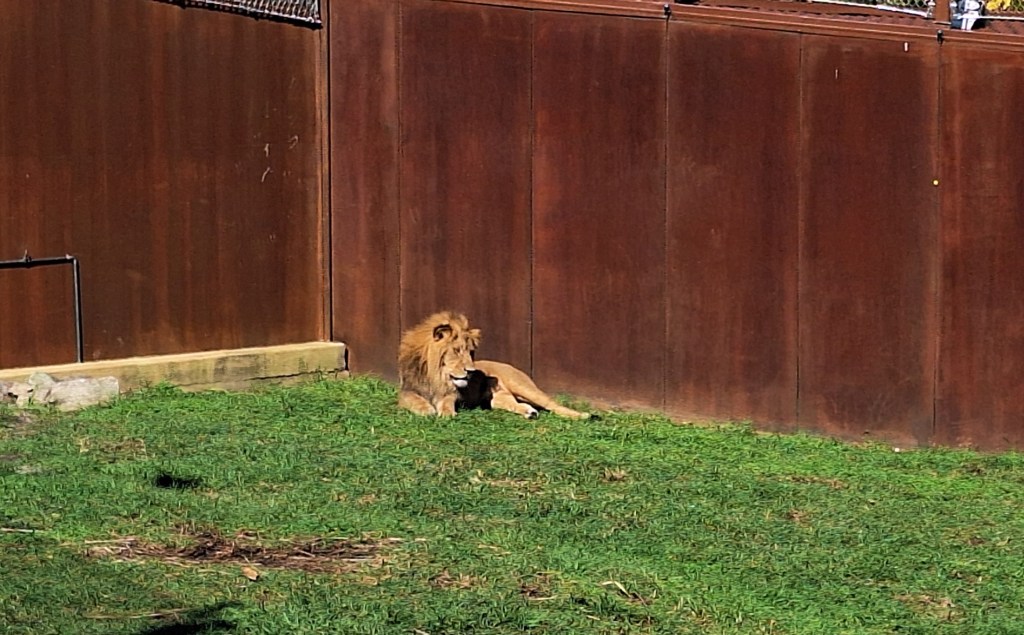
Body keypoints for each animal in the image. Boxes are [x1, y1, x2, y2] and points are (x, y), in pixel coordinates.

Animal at [397, 311, 591, 420]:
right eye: (457, 351)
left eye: (470, 352)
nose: (471, 372)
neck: (436, 375)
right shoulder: (407, 391)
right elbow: (412, 399)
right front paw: (425, 409)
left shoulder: (451, 394)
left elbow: (446, 402)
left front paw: (446, 413)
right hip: (498, 399)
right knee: (516, 404)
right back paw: (530, 412)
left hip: (522, 386)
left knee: (552, 404)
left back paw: (584, 416)